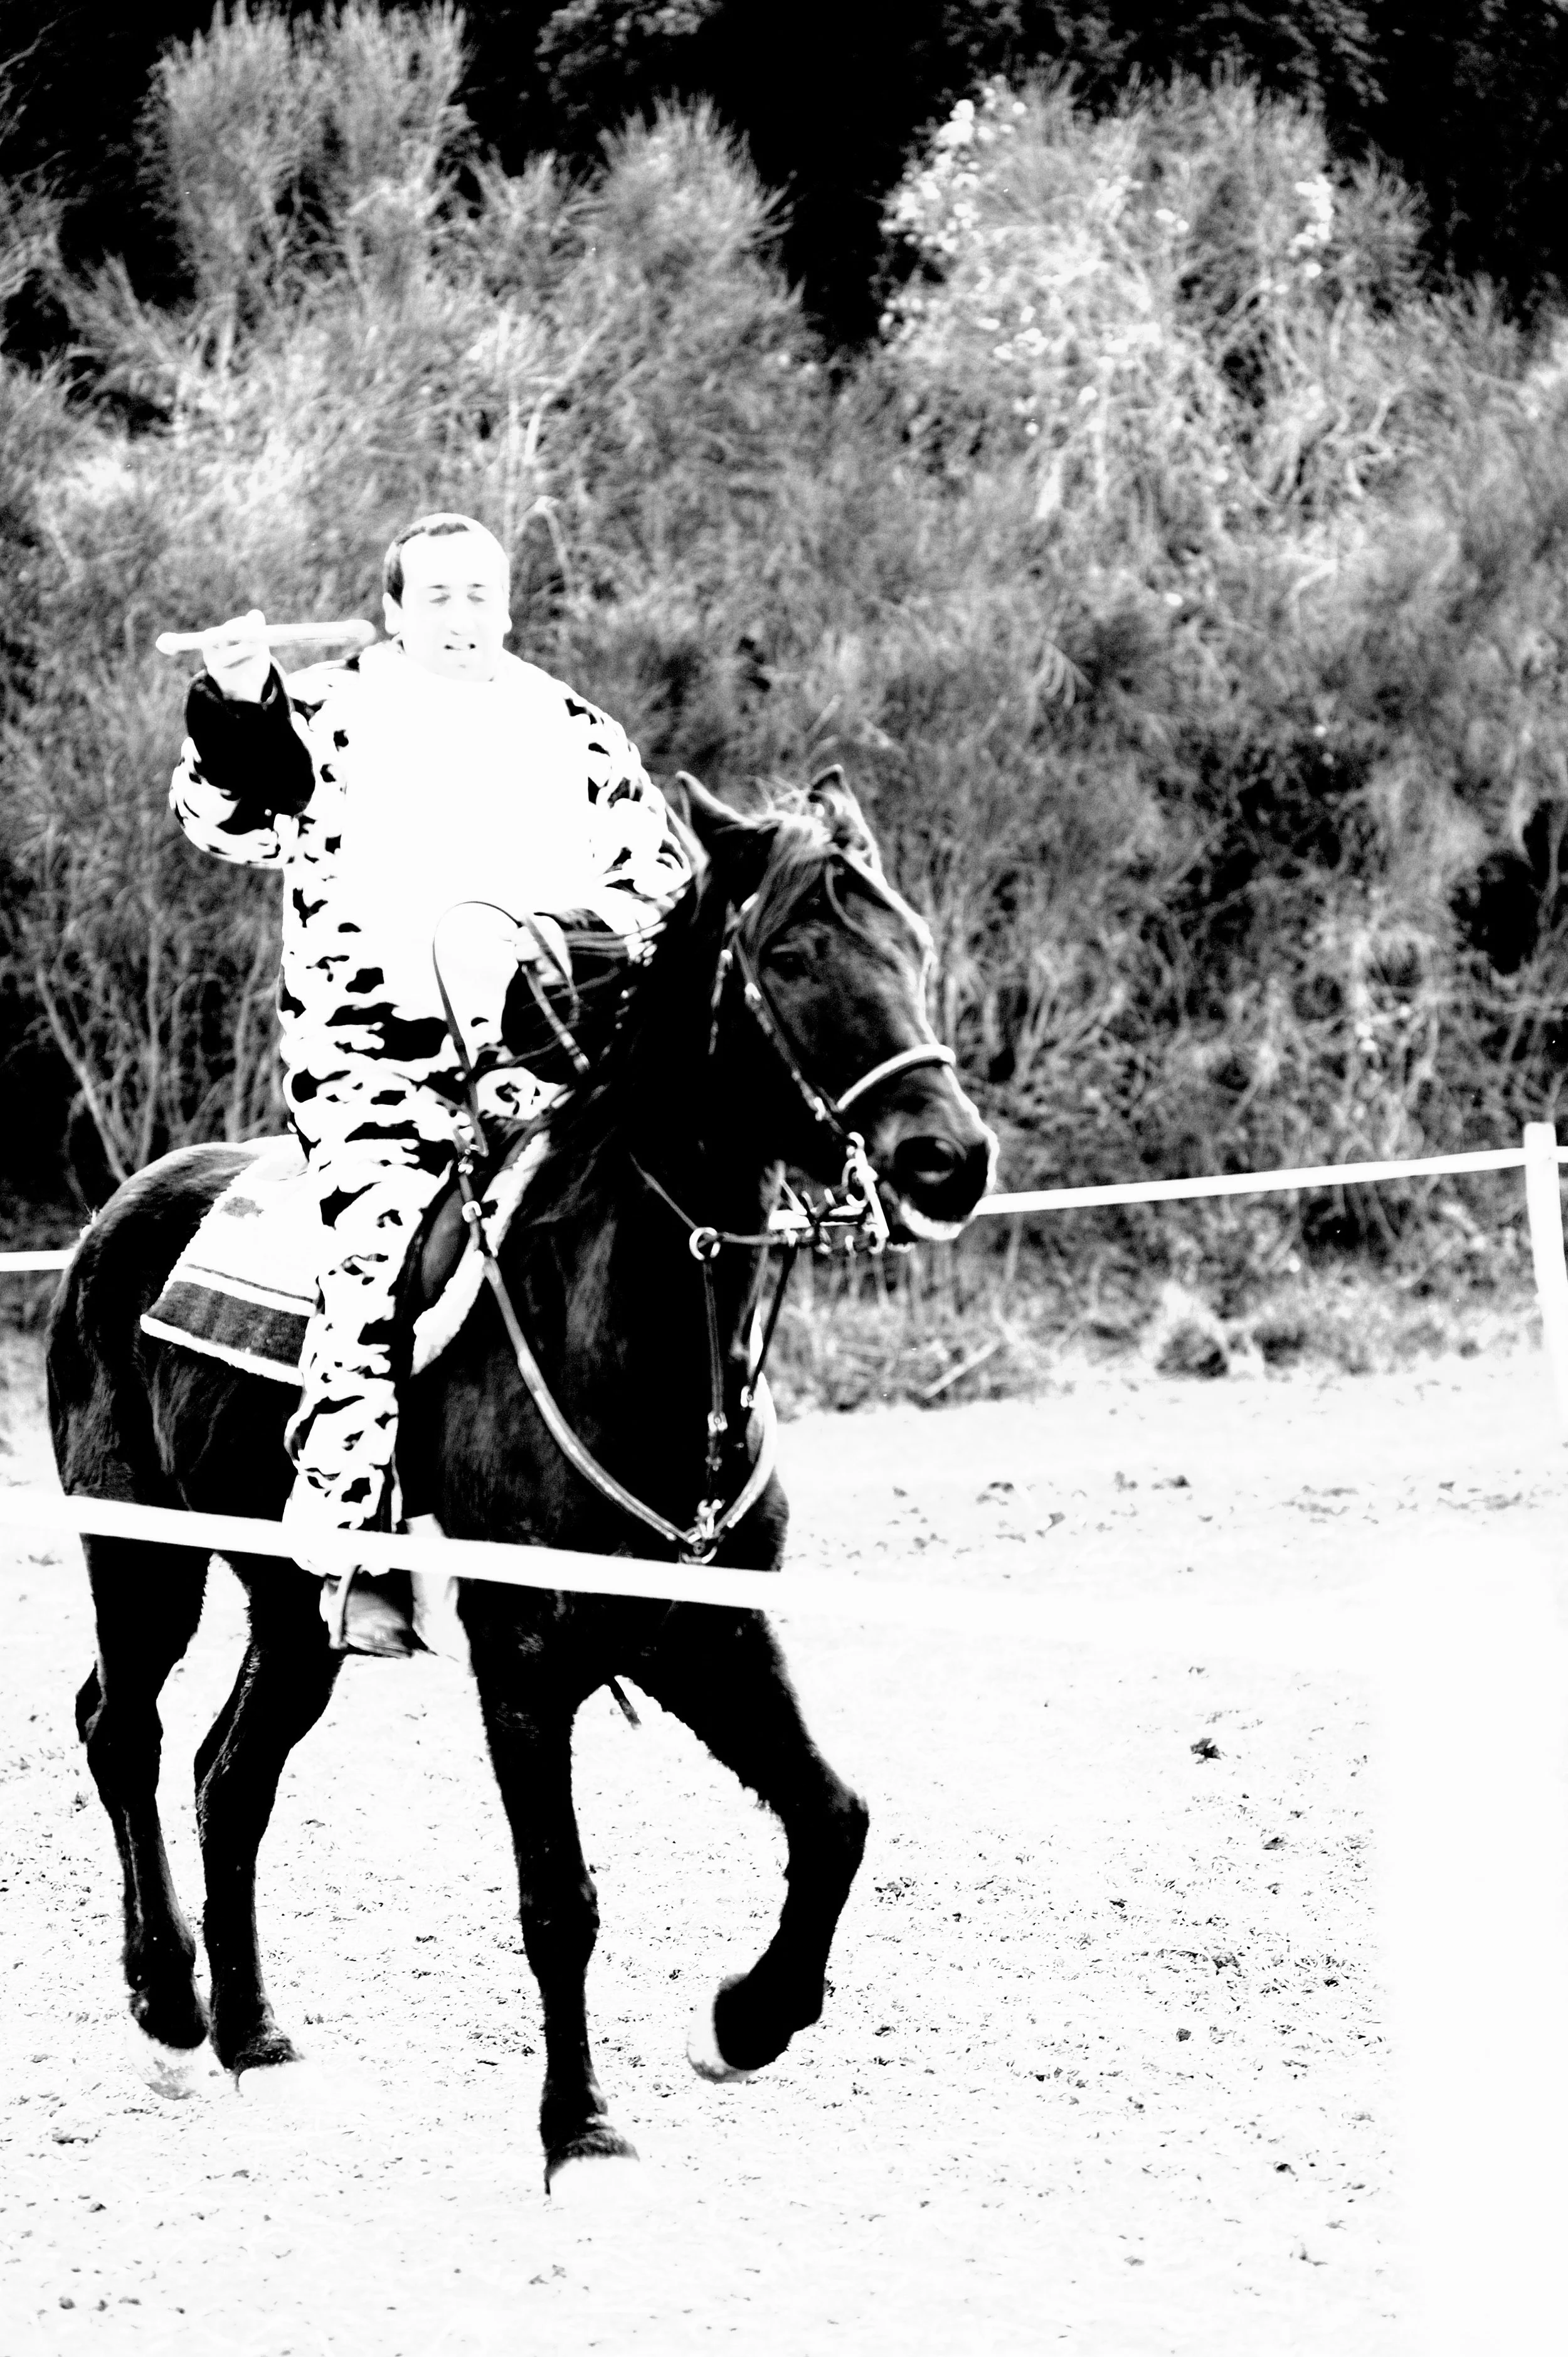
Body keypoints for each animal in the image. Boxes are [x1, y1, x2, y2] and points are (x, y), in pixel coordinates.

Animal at [46, 769, 996, 2190]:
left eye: (914, 943)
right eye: (789, 953)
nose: (947, 1155)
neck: (620, 1338)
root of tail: (122, 1211)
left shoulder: (707, 1634)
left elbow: (835, 1817)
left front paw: (744, 2022)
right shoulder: (526, 1662)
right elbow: (560, 1897)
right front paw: (581, 2124)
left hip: (295, 1609)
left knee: (230, 1775)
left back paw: (252, 2032)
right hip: (141, 1556)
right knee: (125, 1730)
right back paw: (167, 2003)